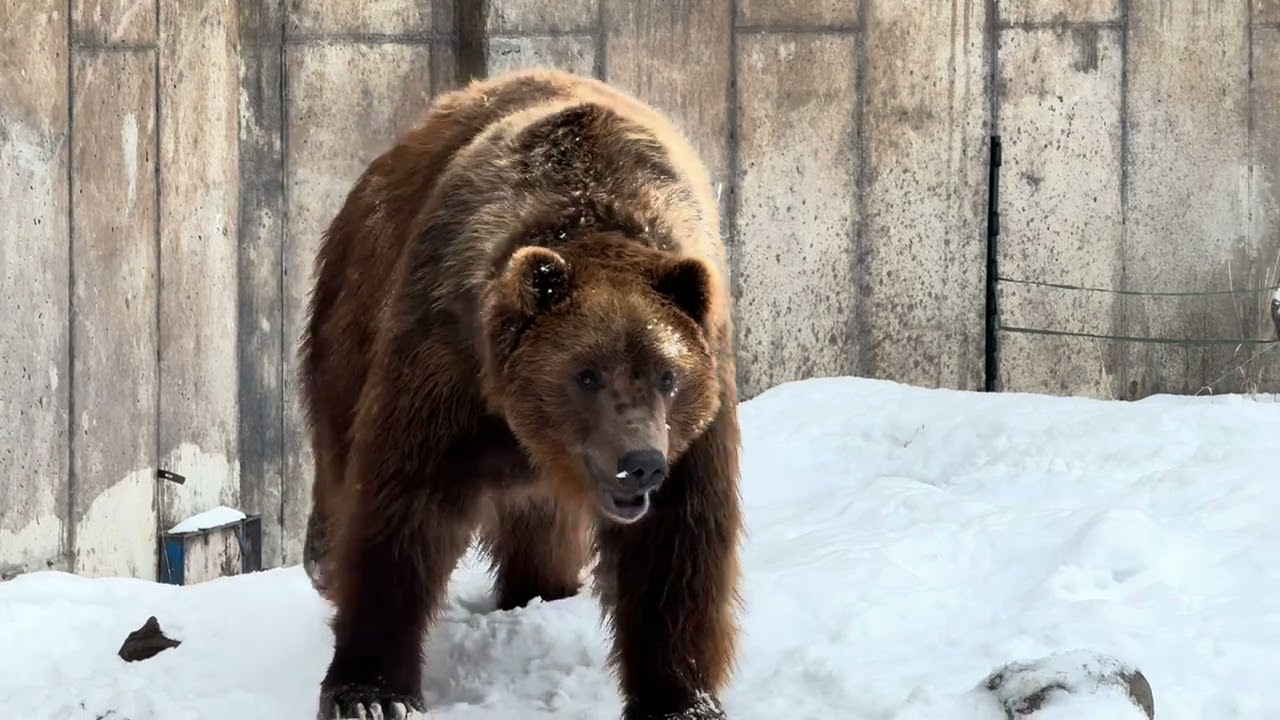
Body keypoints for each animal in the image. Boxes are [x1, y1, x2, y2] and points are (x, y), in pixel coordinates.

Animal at [298, 67, 744, 720]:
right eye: (586, 374)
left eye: (667, 375)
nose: (641, 464)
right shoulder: (445, 355)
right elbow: (404, 508)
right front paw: (371, 693)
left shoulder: (698, 408)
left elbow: (677, 545)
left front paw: (681, 699)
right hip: (354, 301)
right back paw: (322, 558)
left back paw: (540, 589)